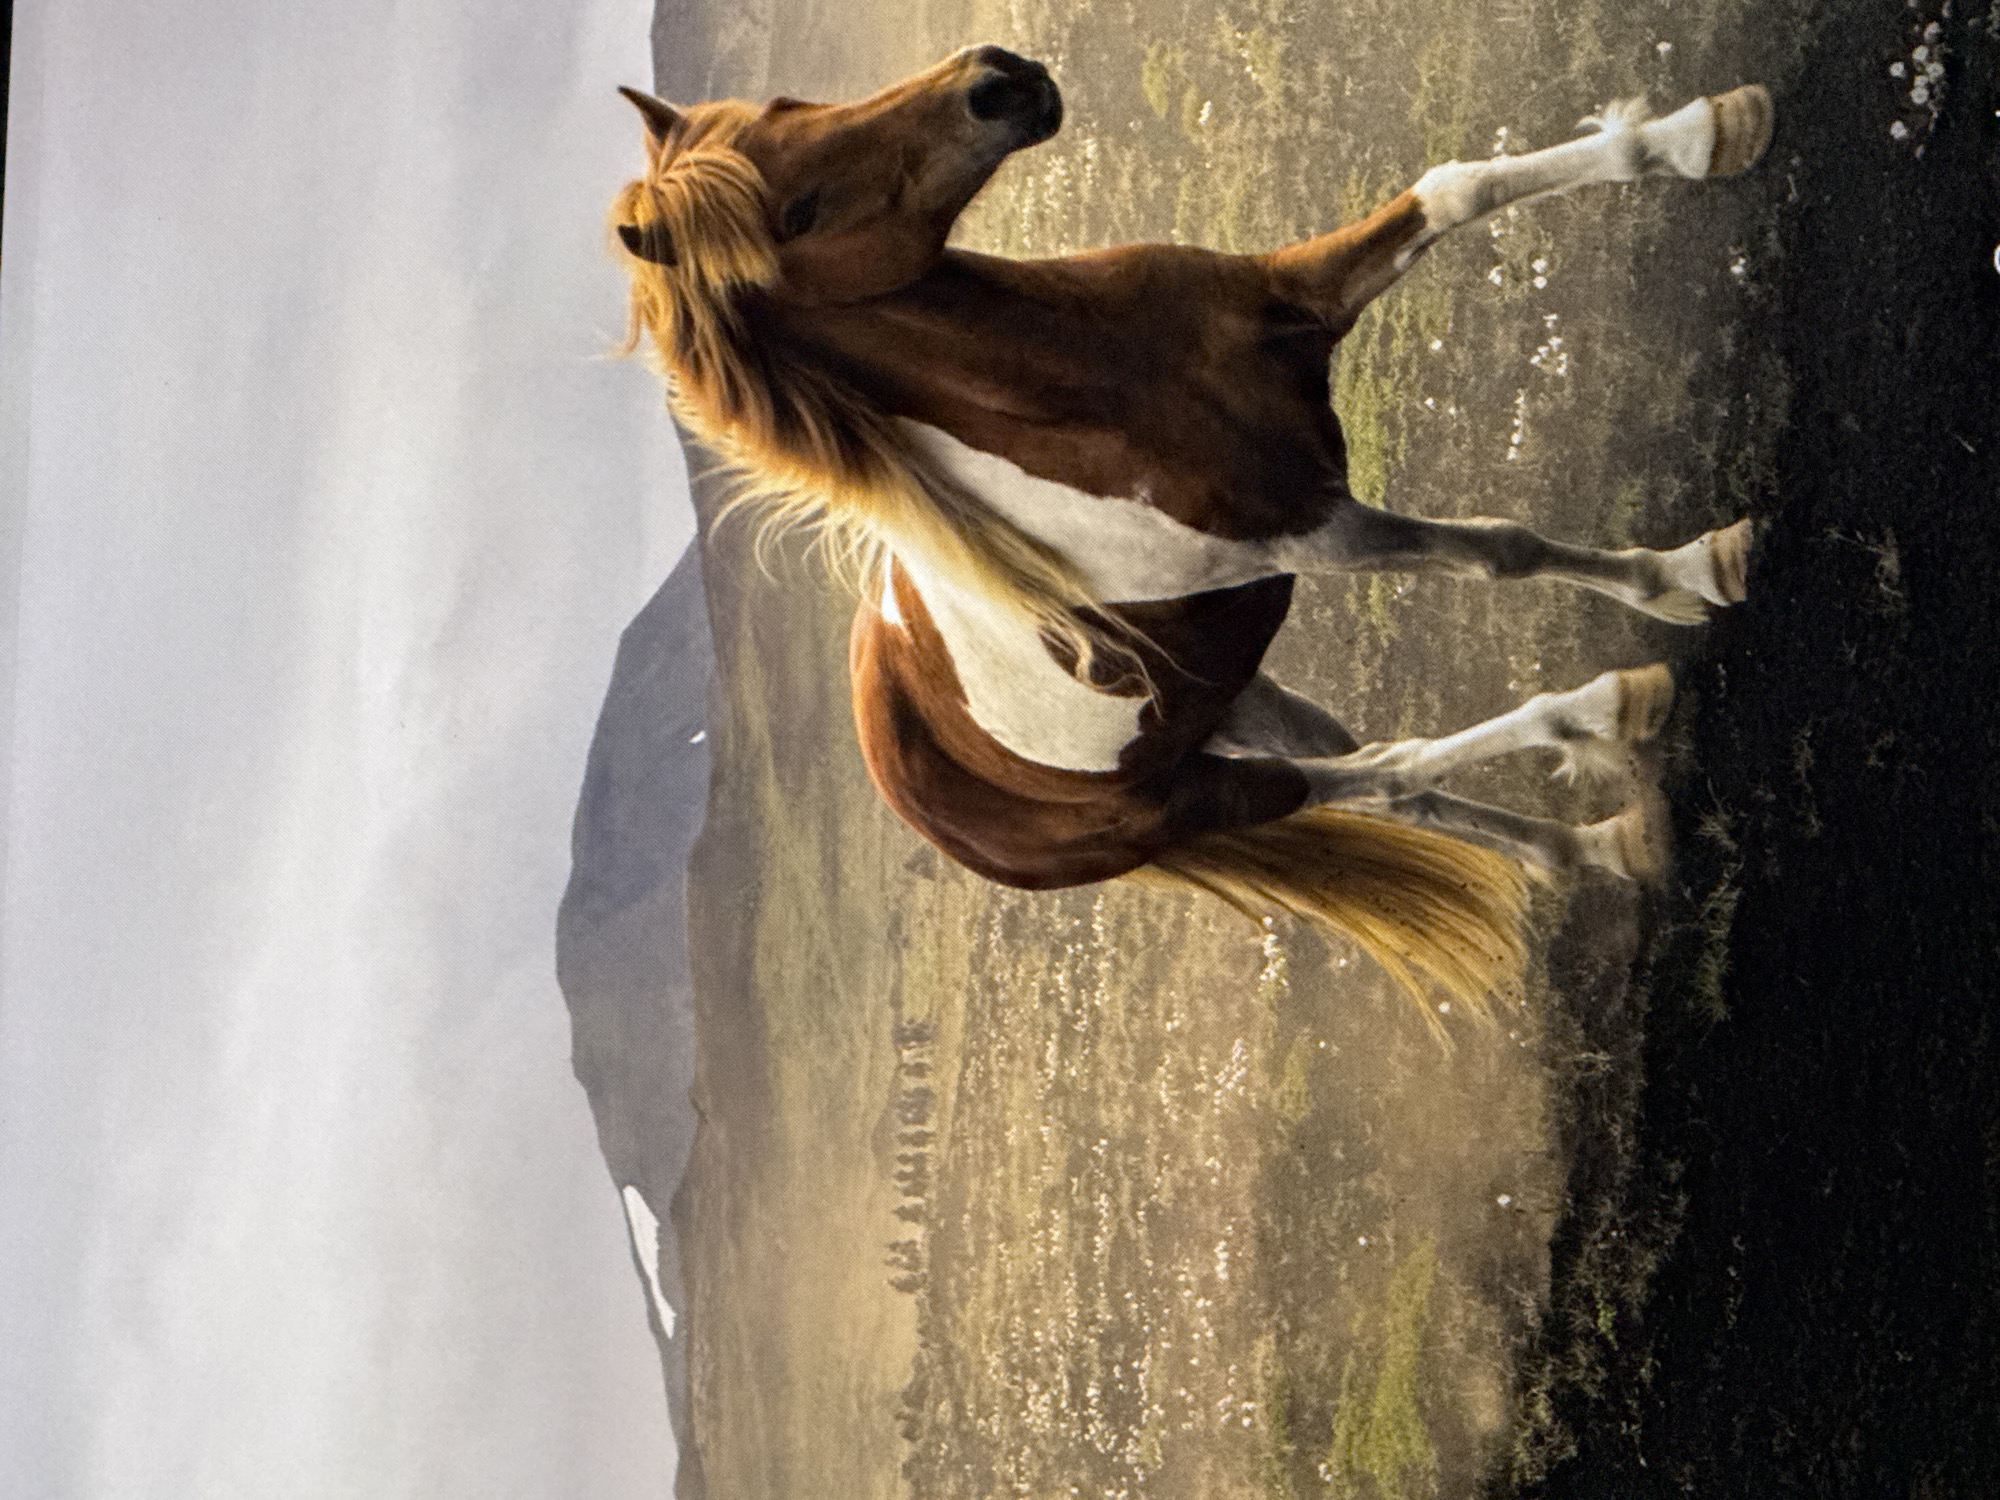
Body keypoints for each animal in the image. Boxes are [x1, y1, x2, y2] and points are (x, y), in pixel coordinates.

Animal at [608, 46, 1771, 1019]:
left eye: (788, 106)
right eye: (796, 211)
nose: (997, 80)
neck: (1092, 379)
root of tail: (920, 798)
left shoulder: (1291, 299)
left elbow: (1455, 189)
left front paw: (1708, 131)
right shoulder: (1314, 533)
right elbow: (1499, 548)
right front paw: (1685, 574)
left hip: (1231, 702)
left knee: (1393, 781)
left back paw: (1597, 847)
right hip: (1190, 800)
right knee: (1384, 771)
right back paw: (1599, 720)